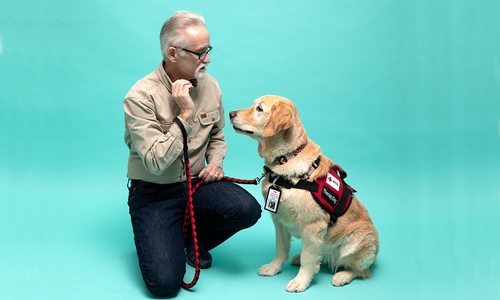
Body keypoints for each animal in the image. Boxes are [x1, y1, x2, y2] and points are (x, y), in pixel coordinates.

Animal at [229, 95, 378, 290]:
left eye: (259, 109)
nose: (230, 113)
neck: (285, 158)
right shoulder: (278, 220)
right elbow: (281, 249)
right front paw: (273, 267)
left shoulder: (313, 225)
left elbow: (309, 259)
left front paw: (301, 281)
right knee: (321, 256)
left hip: (357, 240)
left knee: (360, 270)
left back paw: (342, 276)